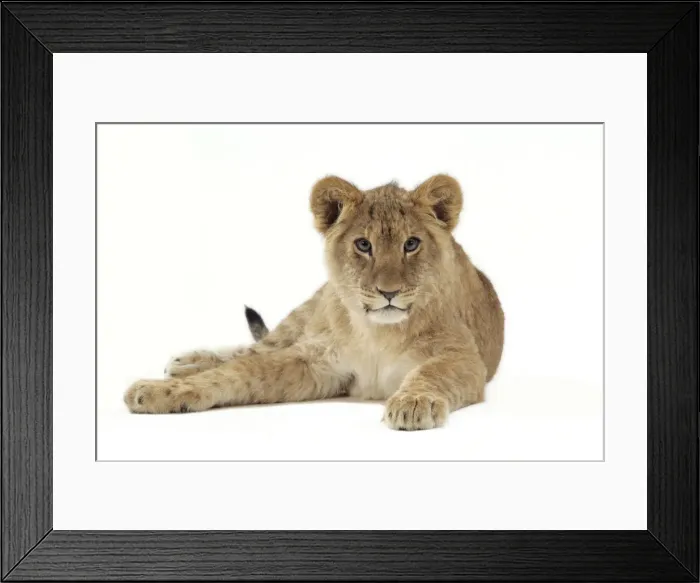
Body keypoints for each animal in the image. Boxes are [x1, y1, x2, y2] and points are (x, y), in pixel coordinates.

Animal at [124, 174, 504, 430]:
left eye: (411, 244)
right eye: (363, 245)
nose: (389, 292)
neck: (377, 332)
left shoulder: (463, 357)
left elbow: (432, 373)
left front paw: (414, 402)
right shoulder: (315, 360)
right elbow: (240, 371)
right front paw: (160, 391)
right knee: (257, 348)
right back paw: (186, 363)